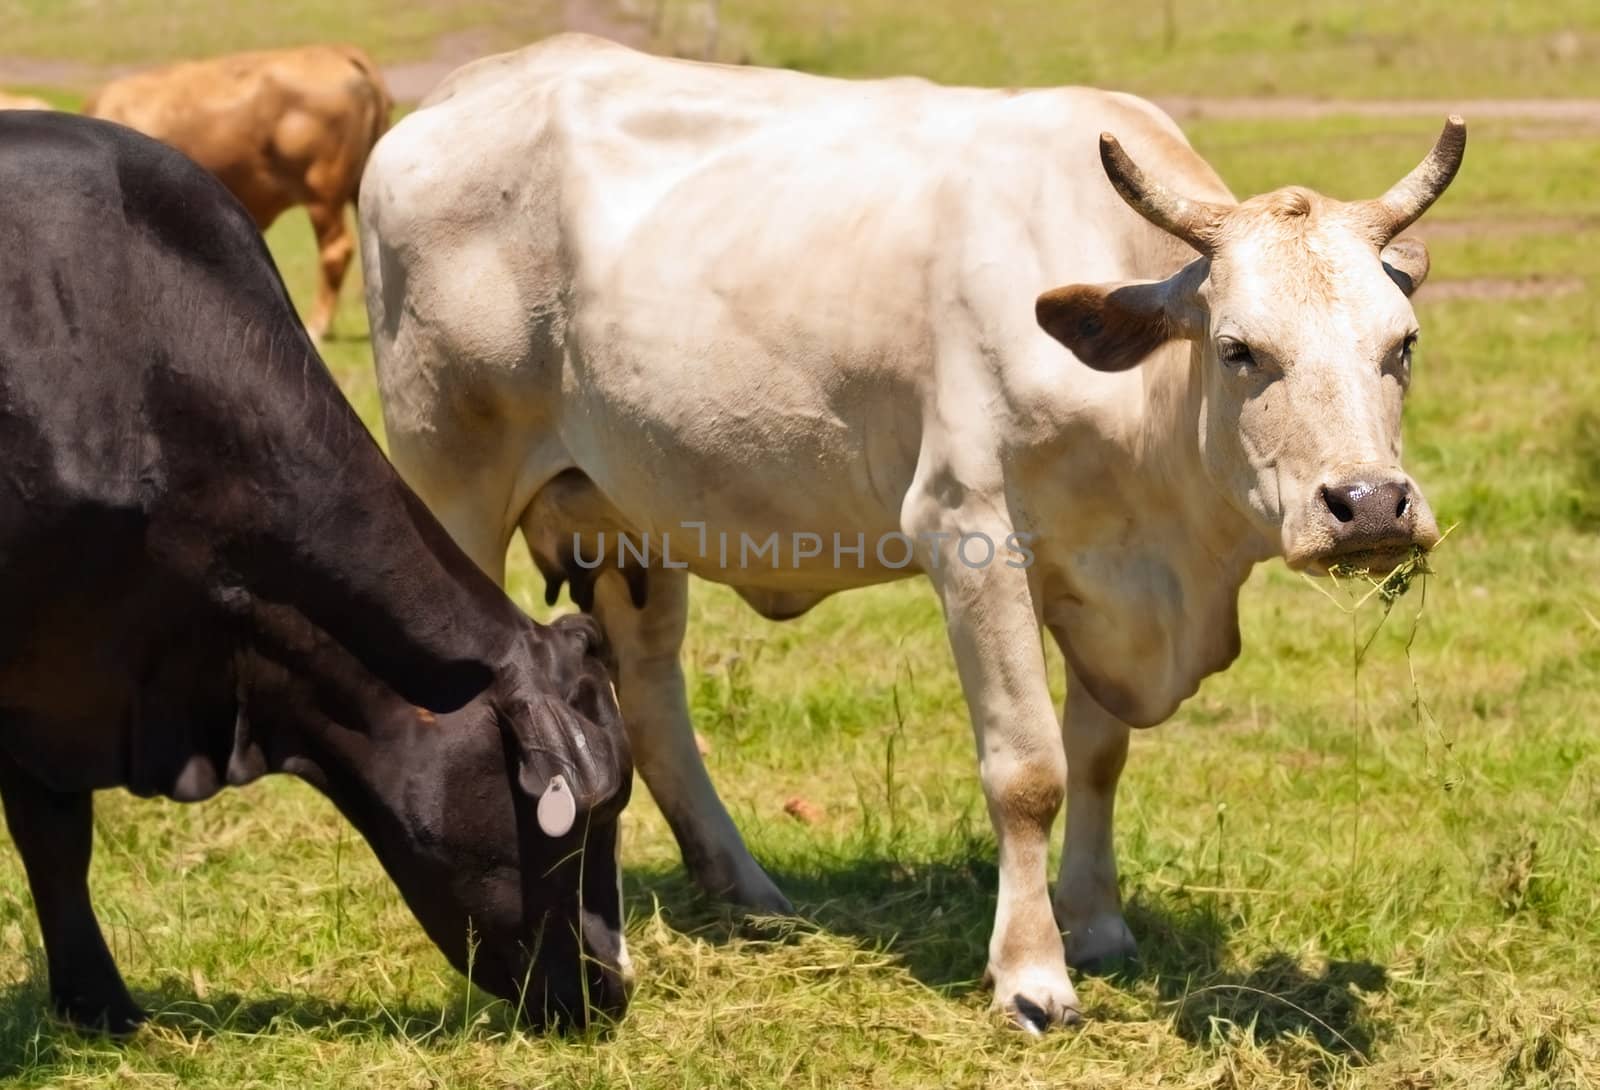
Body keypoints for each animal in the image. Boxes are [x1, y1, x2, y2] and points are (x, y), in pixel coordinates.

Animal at [363, 29, 1465, 1024]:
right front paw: (1033, 975)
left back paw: (745, 890)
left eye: (1403, 343)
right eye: (1240, 349)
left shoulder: (1105, 576)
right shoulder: (969, 534)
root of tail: (458, 95)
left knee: (649, 690)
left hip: (627, 513)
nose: (1370, 504)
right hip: (451, 480)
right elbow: (1028, 767)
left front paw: (1098, 925)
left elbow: (1097, 755)